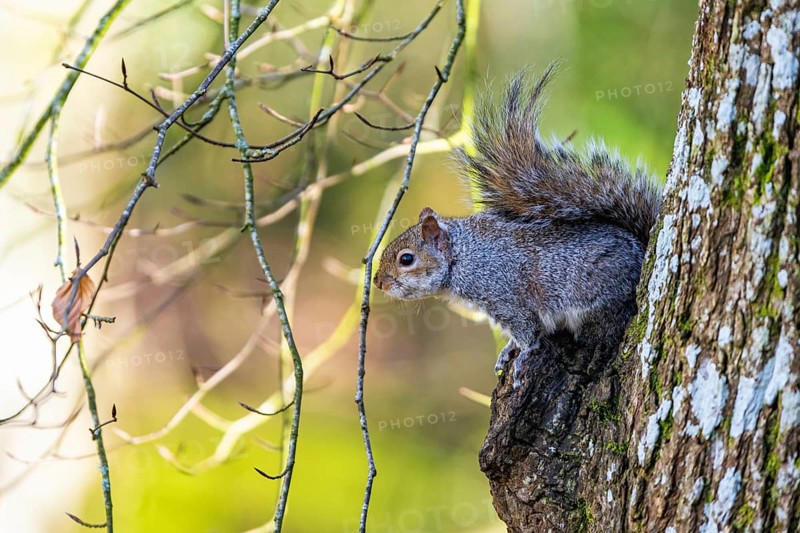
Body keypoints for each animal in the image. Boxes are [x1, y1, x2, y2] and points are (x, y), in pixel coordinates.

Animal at [373, 65, 662, 389]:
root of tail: (641, 250)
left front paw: (522, 356)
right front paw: (507, 352)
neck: (464, 257)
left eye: (406, 259)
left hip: (598, 297)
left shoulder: (507, 298)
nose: (379, 283)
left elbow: (527, 333)